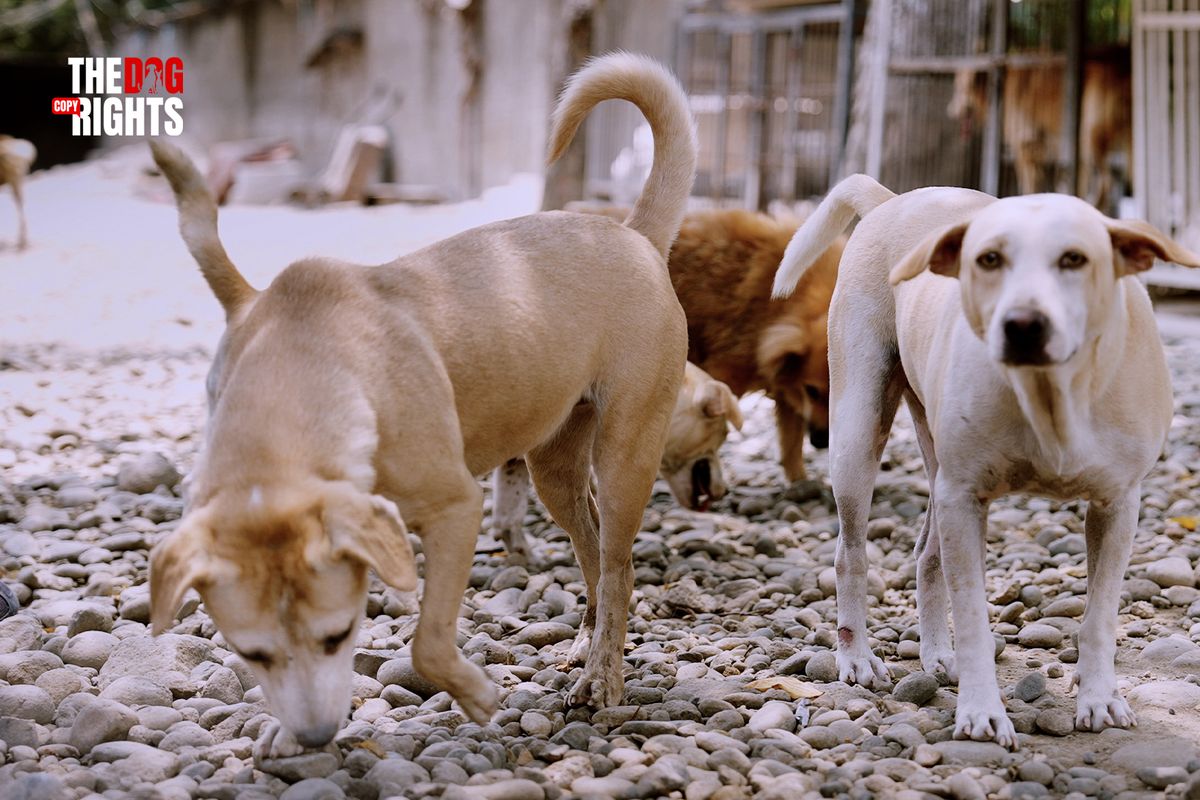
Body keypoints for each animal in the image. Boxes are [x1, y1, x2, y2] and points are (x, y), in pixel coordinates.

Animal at [777, 175, 1200, 753]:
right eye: (989, 259)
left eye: (1075, 258)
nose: (1022, 324)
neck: (1050, 393)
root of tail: (893, 200)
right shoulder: (964, 497)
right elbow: (975, 616)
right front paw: (980, 713)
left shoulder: (1118, 504)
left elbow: (1100, 615)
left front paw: (1099, 700)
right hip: (858, 433)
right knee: (851, 553)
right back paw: (857, 657)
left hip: (937, 464)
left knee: (927, 555)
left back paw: (936, 654)